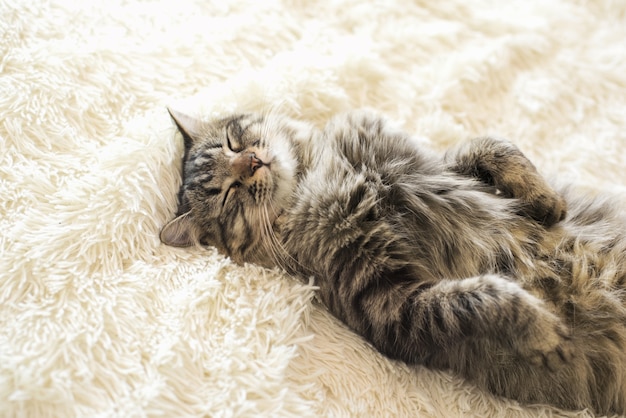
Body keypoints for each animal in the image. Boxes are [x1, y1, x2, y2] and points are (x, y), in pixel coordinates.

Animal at [160, 108, 624, 414]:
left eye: (233, 143)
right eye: (226, 193)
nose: (253, 161)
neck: (319, 175)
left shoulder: (429, 161)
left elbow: (488, 145)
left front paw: (544, 199)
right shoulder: (392, 305)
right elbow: (486, 297)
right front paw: (543, 331)